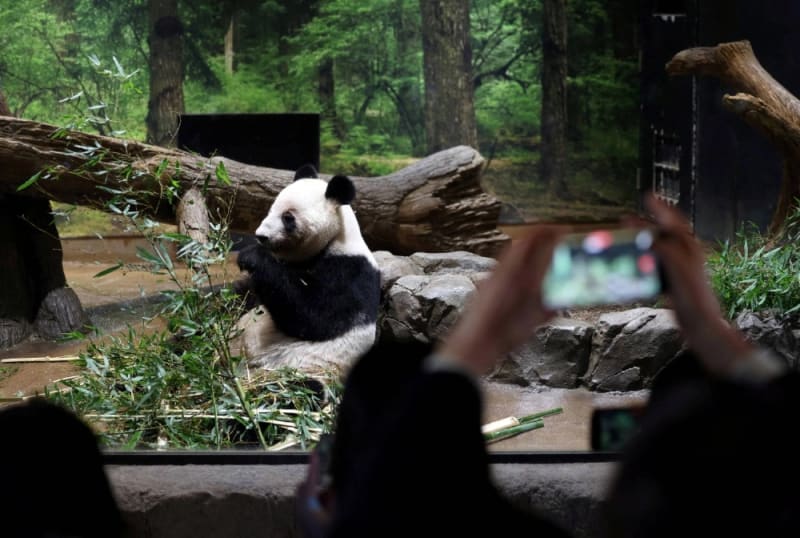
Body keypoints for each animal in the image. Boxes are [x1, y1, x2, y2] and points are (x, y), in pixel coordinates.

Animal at [233, 164, 381, 371]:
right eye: (271, 209)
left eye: (287, 217)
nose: (261, 236)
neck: (334, 239)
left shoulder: (350, 271)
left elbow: (315, 317)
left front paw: (251, 256)